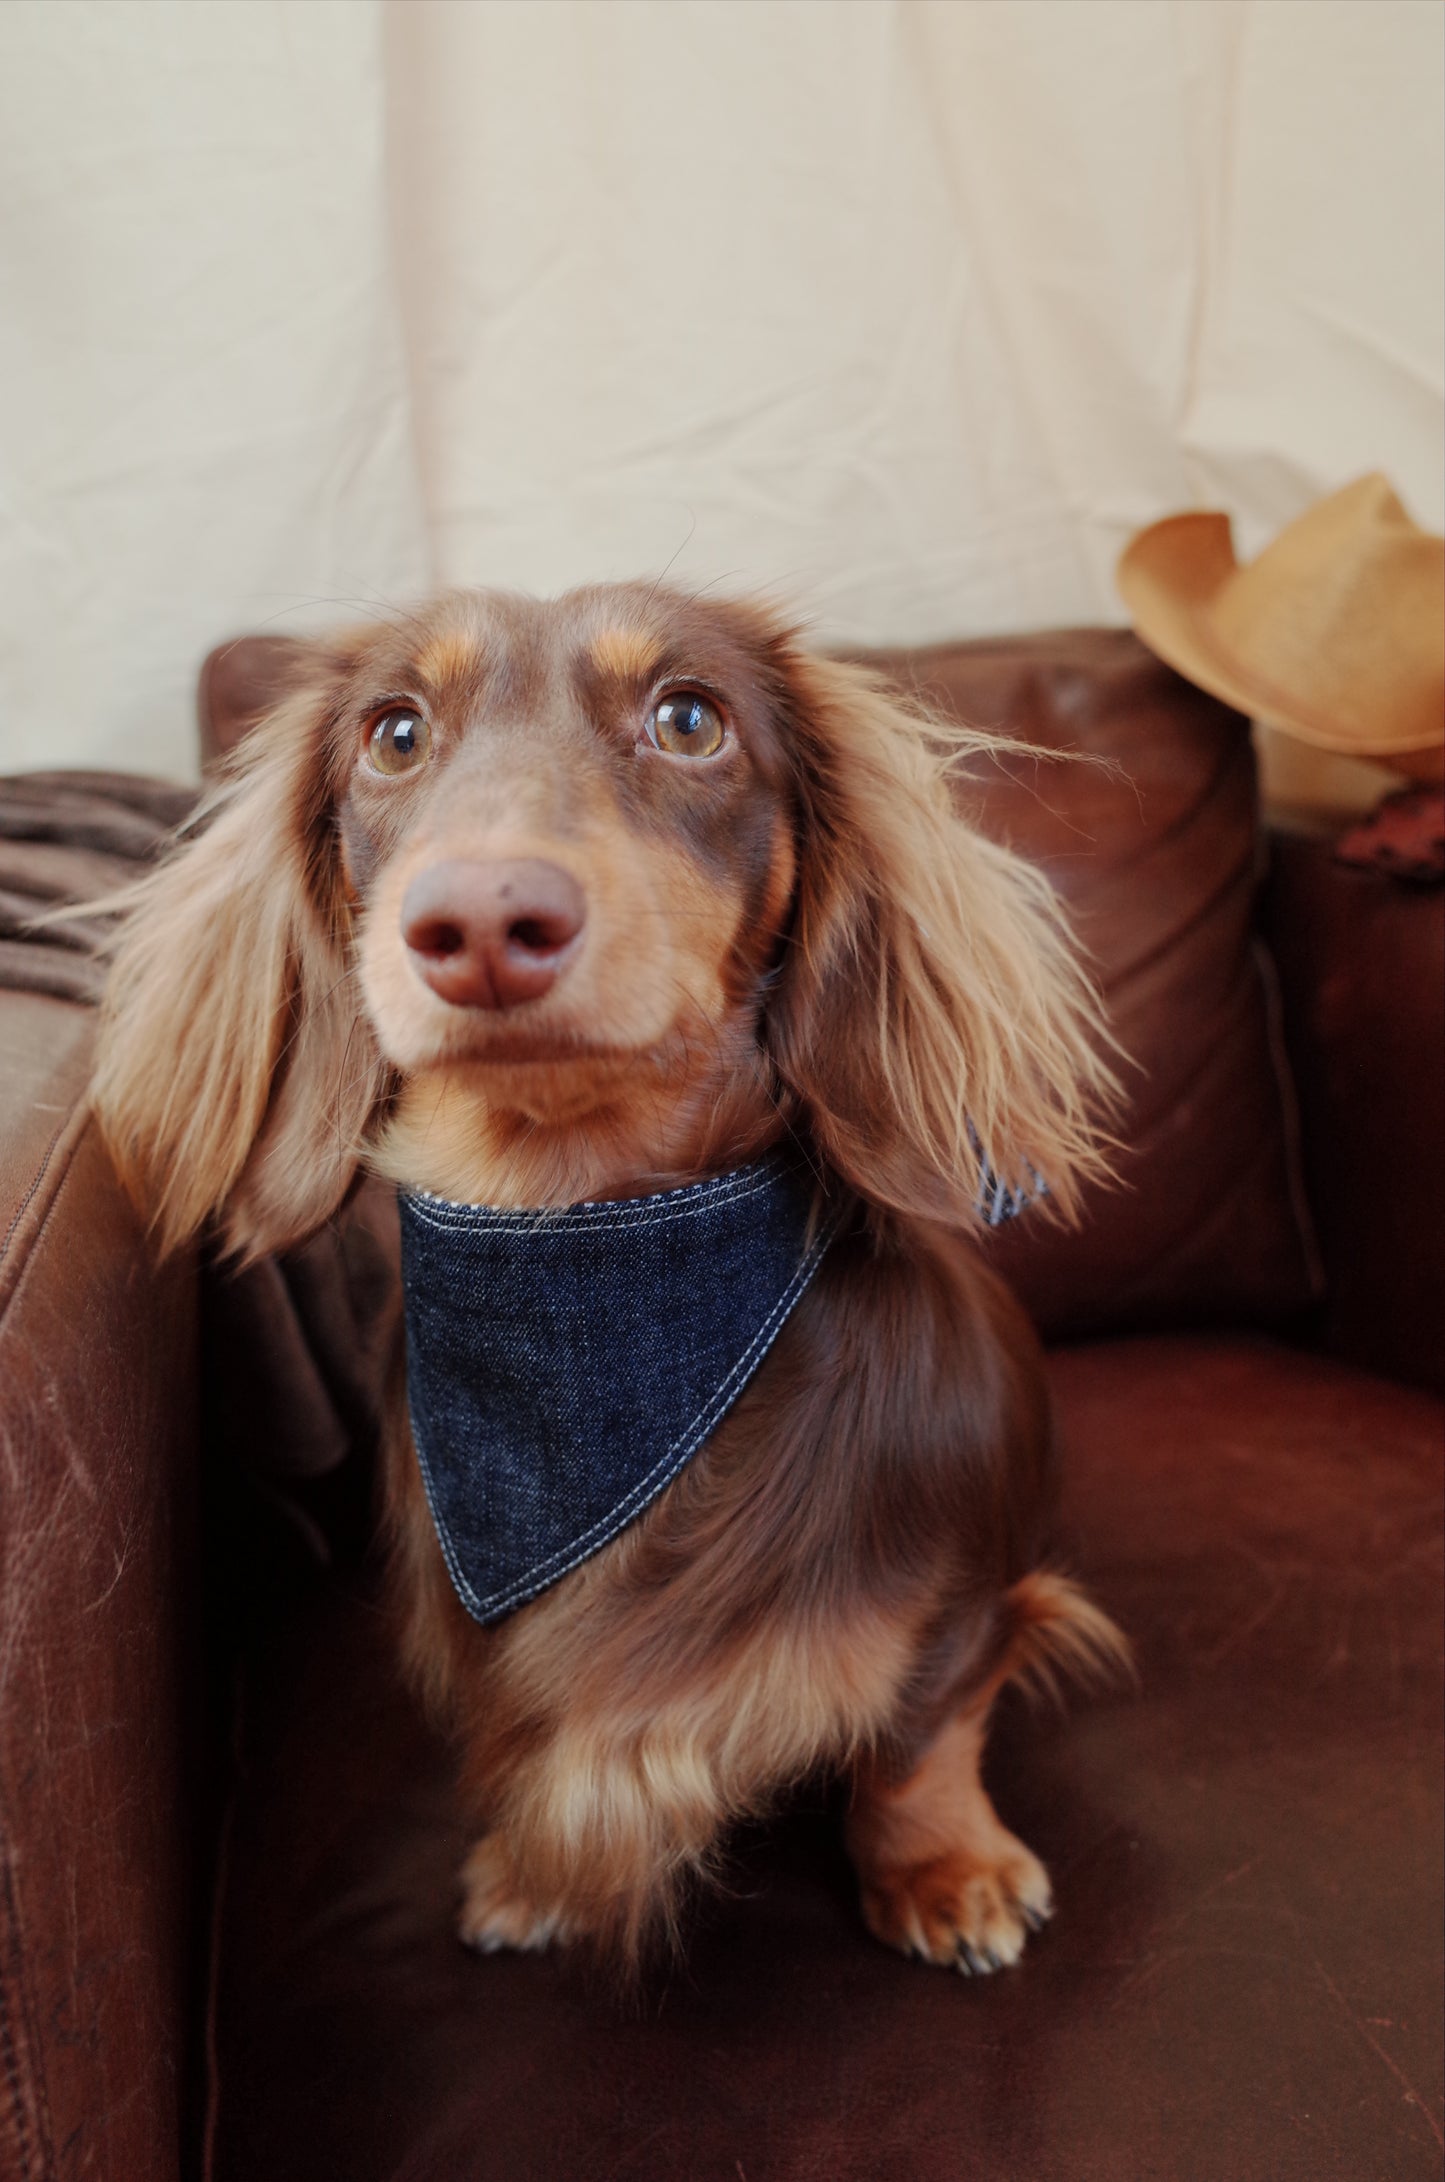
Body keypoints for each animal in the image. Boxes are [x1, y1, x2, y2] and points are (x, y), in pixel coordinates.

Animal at [90, 584, 1135, 1981]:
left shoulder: (964, 1606)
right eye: (394, 733)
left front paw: (943, 1870)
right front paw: (530, 1878)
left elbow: (916, 1739)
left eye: (688, 718)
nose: (481, 924)